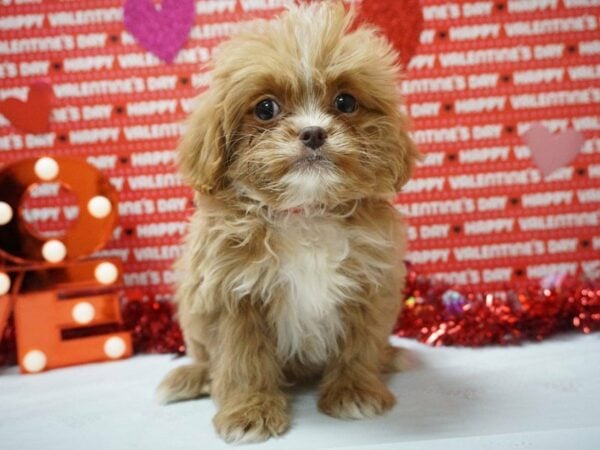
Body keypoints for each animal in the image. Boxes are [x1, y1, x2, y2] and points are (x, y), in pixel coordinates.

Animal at [158, 0, 422, 442]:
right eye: (266, 108)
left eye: (345, 102)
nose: (313, 133)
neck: (306, 212)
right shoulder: (232, 295)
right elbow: (242, 361)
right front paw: (250, 411)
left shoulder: (368, 285)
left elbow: (359, 345)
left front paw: (354, 392)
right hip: (192, 313)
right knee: (205, 356)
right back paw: (191, 376)